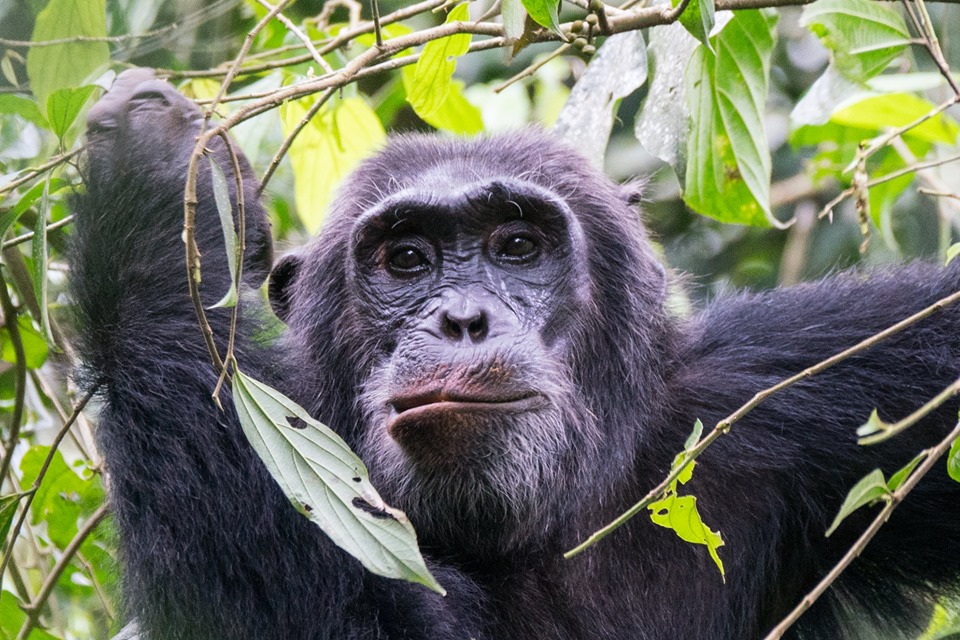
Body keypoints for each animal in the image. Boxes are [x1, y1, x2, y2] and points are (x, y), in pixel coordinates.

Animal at [69, 70, 960, 640]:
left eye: (518, 247)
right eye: (407, 261)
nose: (463, 318)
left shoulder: (811, 379)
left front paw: (153, 167)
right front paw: (152, 186)